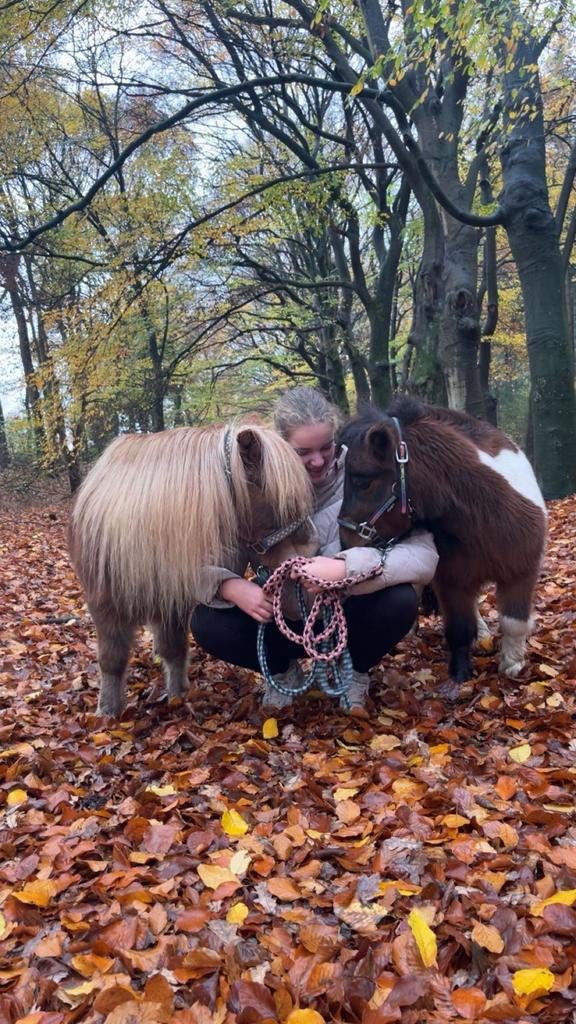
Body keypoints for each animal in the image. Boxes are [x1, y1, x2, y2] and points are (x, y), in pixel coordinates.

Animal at [69, 423, 315, 715]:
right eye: (281, 503)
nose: (302, 593)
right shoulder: (105, 605)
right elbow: (112, 659)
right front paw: (107, 711)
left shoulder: (172, 603)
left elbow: (174, 649)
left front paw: (178, 696)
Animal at [338, 398, 547, 686]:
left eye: (362, 480)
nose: (345, 542)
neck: (481, 519)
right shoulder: (452, 581)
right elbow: (458, 628)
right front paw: (460, 673)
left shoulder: (520, 571)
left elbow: (513, 622)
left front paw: (512, 664)